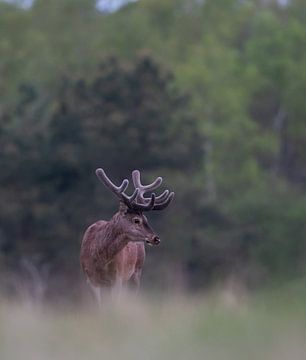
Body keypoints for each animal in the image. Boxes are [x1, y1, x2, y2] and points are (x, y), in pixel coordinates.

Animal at [80, 167, 173, 302]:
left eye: (146, 218)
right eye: (136, 220)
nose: (156, 238)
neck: (100, 260)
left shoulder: (117, 278)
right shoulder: (90, 279)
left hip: (136, 272)